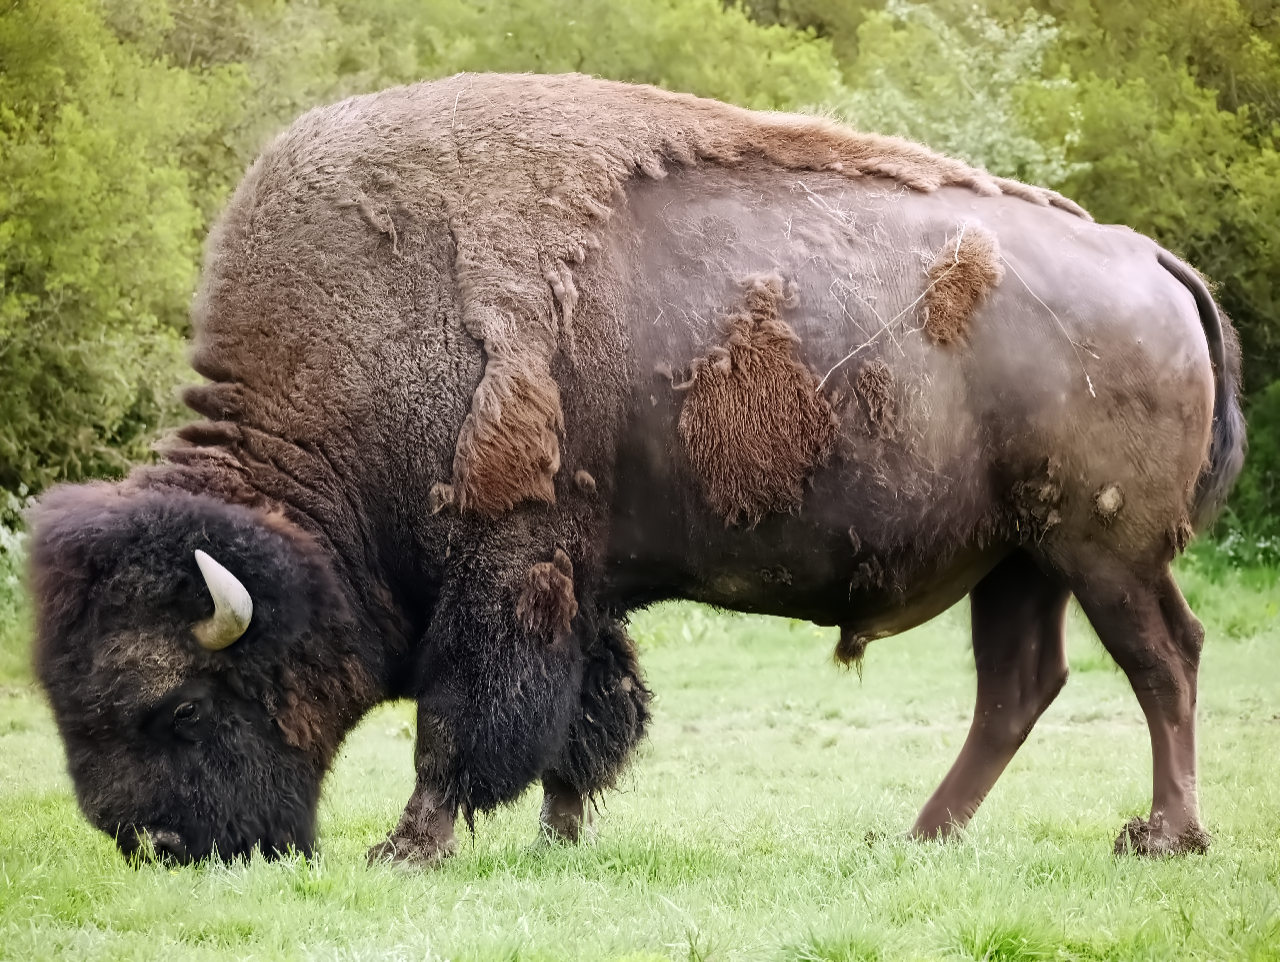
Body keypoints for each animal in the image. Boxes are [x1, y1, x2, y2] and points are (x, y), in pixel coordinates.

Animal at [27, 73, 1239, 864]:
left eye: (179, 709)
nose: (157, 845)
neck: (368, 340)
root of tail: (1147, 258)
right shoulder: (582, 587)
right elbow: (586, 716)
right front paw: (561, 839)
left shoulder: (506, 576)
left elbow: (464, 724)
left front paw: (410, 846)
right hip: (1020, 561)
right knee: (1020, 686)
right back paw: (917, 835)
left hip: (1105, 549)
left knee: (1164, 663)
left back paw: (1162, 837)